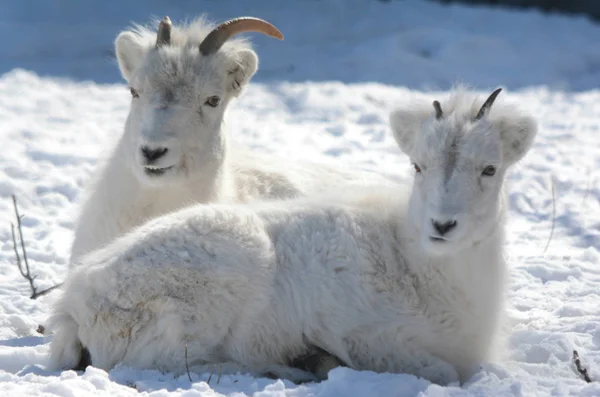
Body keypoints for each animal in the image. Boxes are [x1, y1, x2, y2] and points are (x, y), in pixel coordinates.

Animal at [50, 89, 540, 384]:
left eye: (490, 168)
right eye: (418, 165)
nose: (443, 226)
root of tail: (77, 306)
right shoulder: (372, 340)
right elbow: (443, 372)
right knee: (182, 365)